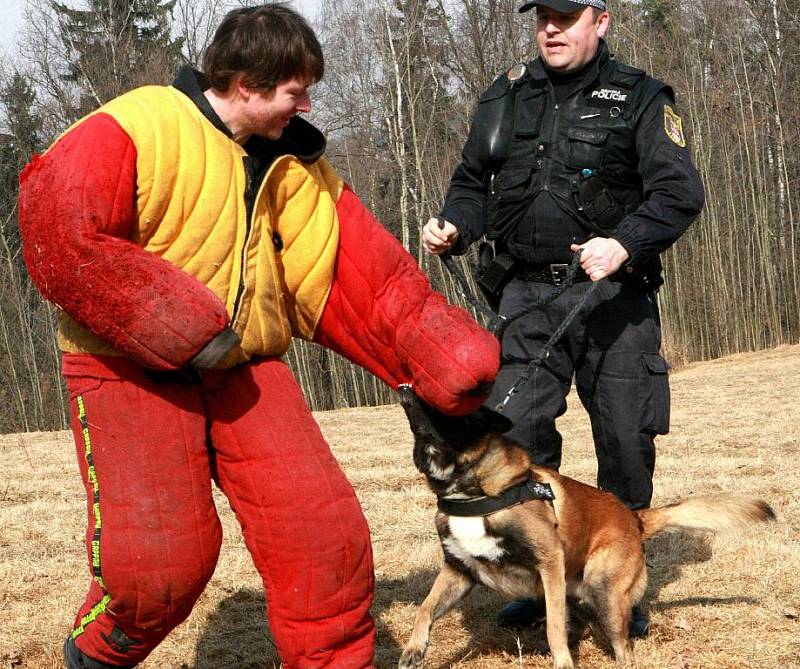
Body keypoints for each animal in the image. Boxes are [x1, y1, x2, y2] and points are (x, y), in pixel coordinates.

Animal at [398, 384, 776, 664]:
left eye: (449, 405)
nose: (407, 384)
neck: (474, 492)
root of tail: (634, 517)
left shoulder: (550, 563)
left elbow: (554, 629)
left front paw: (563, 662)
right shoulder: (458, 571)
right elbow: (424, 609)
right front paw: (414, 649)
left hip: (603, 587)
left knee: (623, 646)